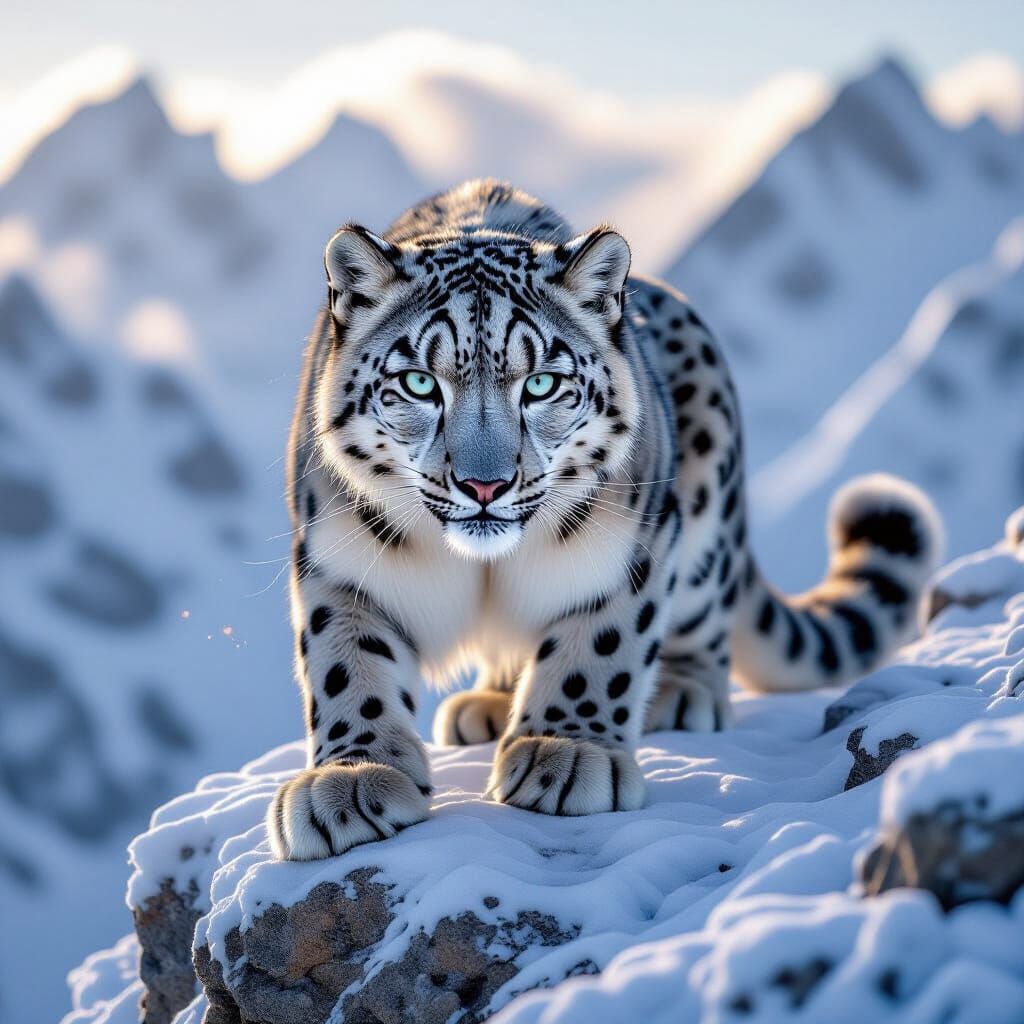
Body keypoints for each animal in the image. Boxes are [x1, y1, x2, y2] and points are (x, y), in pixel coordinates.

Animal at [267, 179, 942, 860]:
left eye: (541, 384)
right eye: (418, 383)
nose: (485, 484)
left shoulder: (629, 547)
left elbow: (602, 640)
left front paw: (565, 752)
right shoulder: (341, 561)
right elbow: (348, 661)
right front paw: (353, 778)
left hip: (704, 517)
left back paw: (679, 693)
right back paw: (488, 703)